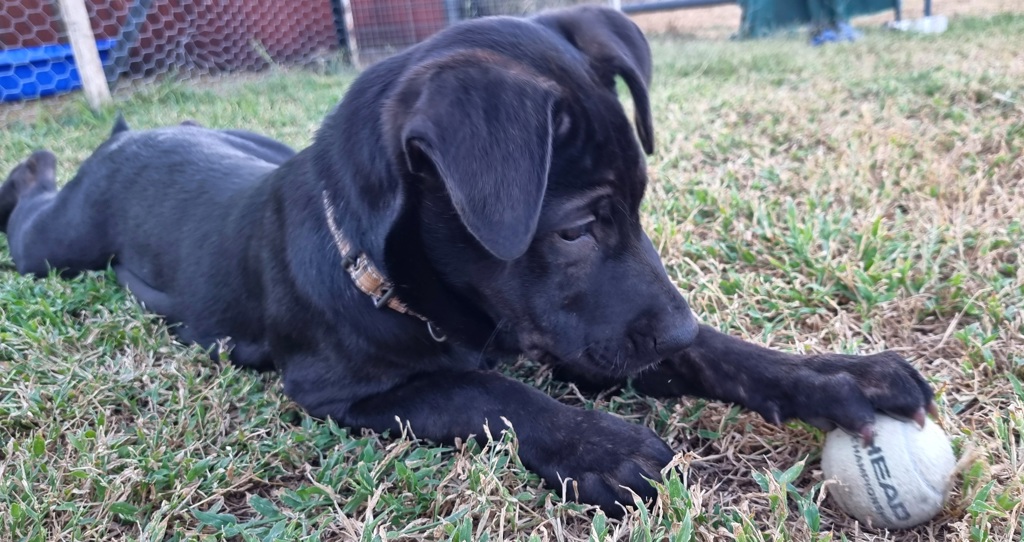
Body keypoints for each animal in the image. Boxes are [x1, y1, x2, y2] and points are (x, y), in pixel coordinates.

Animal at [0, 6, 934, 516]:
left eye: (638, 204)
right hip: (59, 244)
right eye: (573, 231)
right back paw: (38, 163)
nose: (673, 326)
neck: (379, 269)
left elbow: (730, 355)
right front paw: (598, 446)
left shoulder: (591, 341)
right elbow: (488, 392)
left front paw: (843, 375)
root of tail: (137, 133)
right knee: (30, 214)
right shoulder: (349, 393)